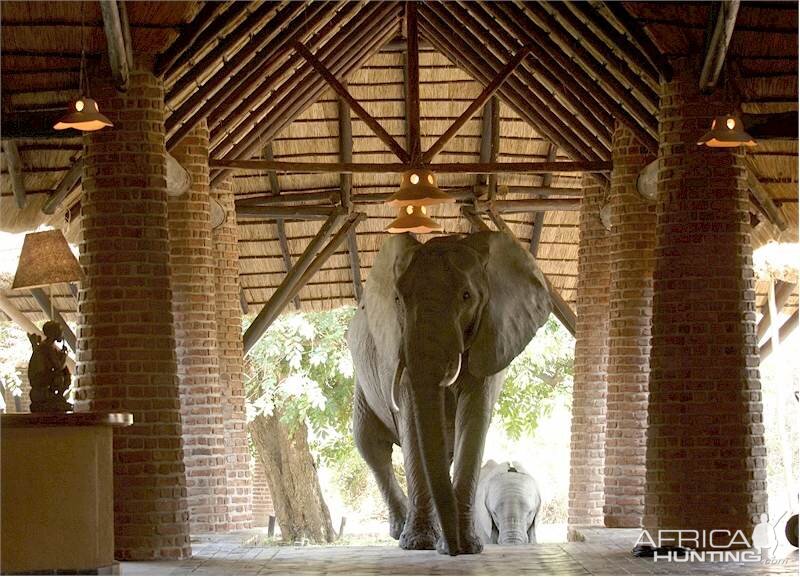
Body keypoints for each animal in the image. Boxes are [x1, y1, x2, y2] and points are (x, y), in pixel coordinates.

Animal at [346, 231, 552, 552]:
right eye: (398, 299)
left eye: (467, 296)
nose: (453, 550)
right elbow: (410, 422)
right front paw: (418, 544)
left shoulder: (492, 334)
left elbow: (474, 416)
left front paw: (466, 547)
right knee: (370, 443)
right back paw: (401, 530)